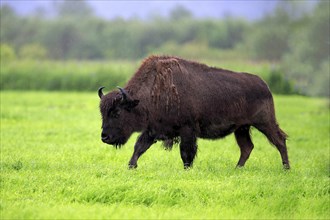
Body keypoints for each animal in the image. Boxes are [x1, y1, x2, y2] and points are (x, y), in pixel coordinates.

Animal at [97, 55, 288, 169]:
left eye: (117, 113)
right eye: (102, 113)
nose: (104, 137)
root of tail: (264, 85)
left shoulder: (187, 130)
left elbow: (186, 153)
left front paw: (187, 170)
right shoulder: (152, 129)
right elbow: (139, 147)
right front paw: (131, 166)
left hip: (264, 123)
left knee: (279, 140)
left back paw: (286, 168)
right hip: (241, 128)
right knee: (247, 147)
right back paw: (237, 169)